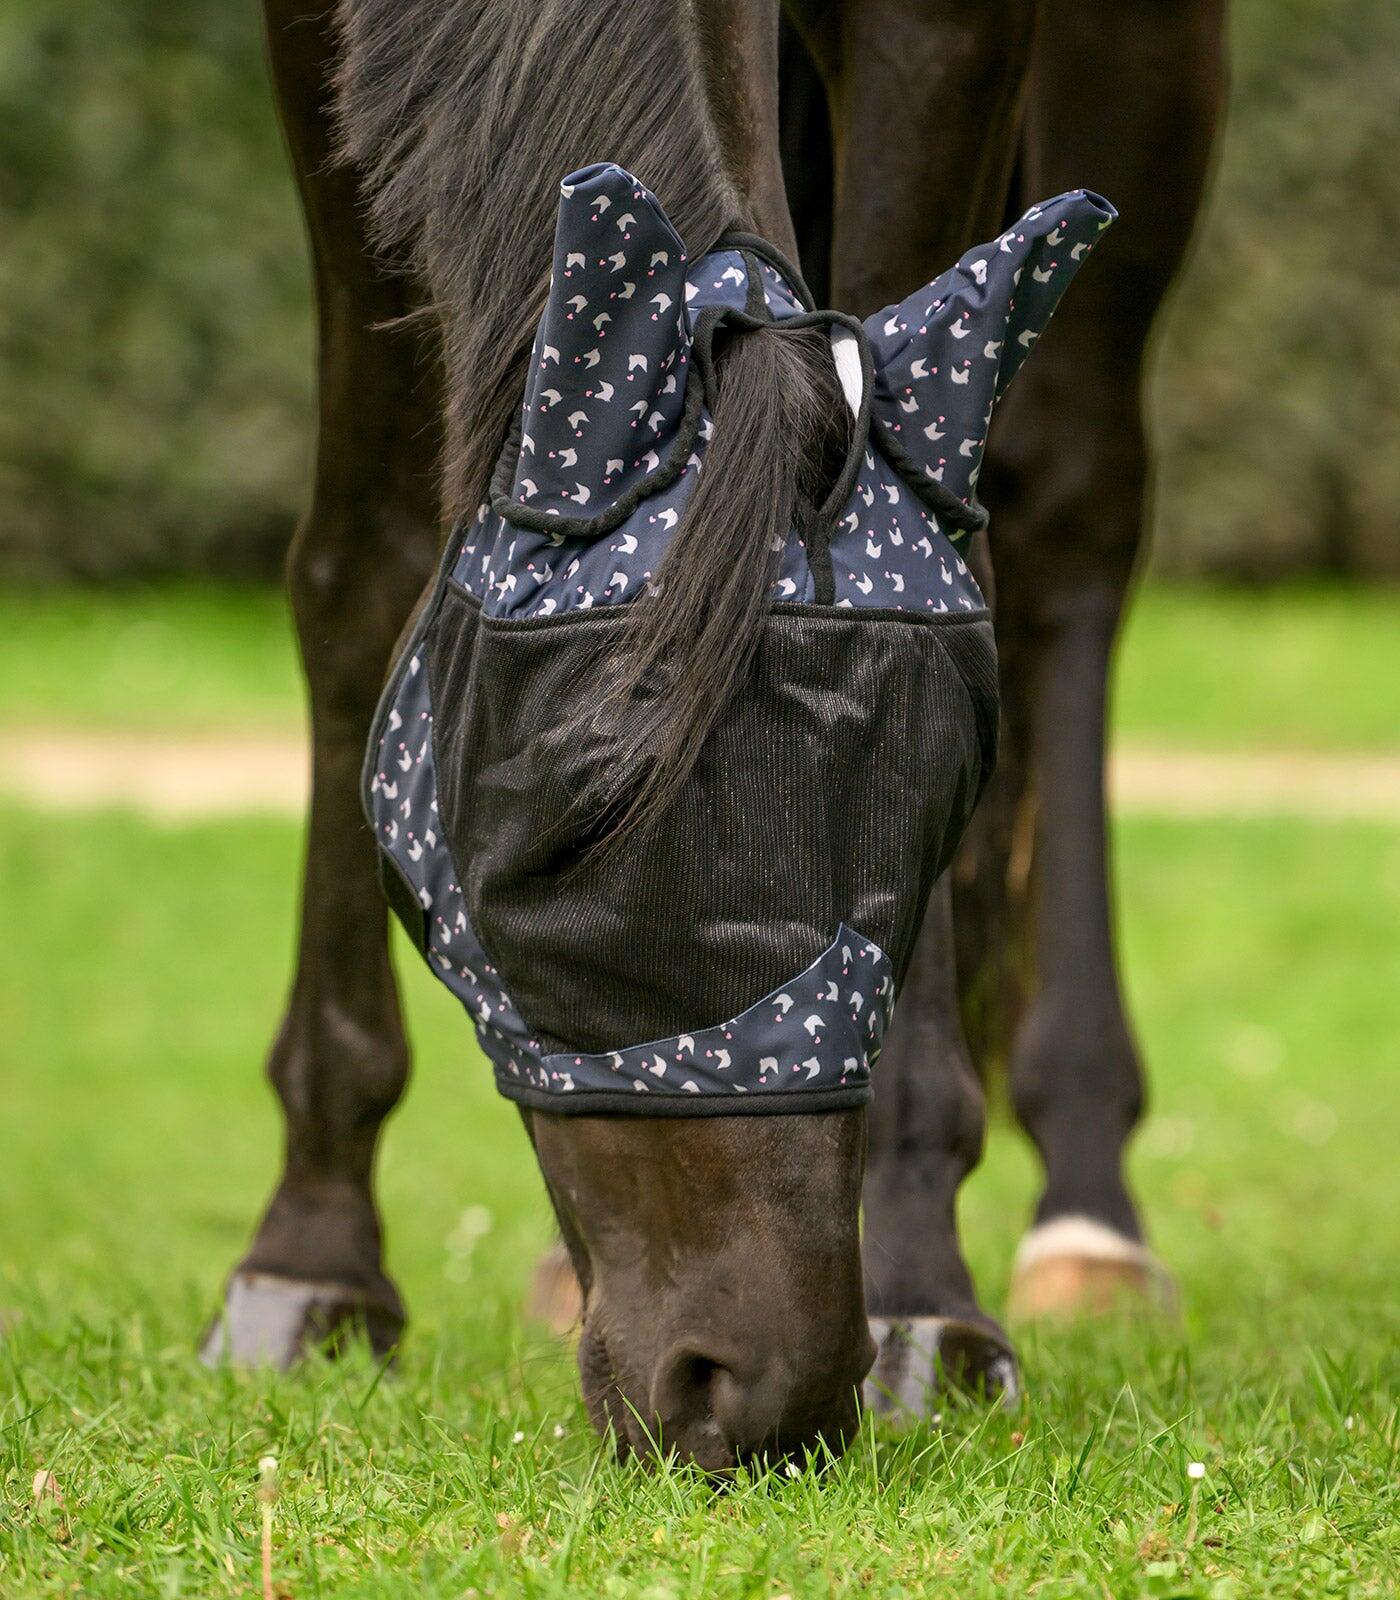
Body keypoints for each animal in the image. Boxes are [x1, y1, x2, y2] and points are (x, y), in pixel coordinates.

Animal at [202, 0, 1225, 1470]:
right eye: (566, 826)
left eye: (947, 785)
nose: (751, 1393)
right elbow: (365, 557)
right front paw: (311, 1258)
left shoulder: (950, 37)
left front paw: (922, 1293)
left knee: (1072, 509)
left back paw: (1086, 1218)